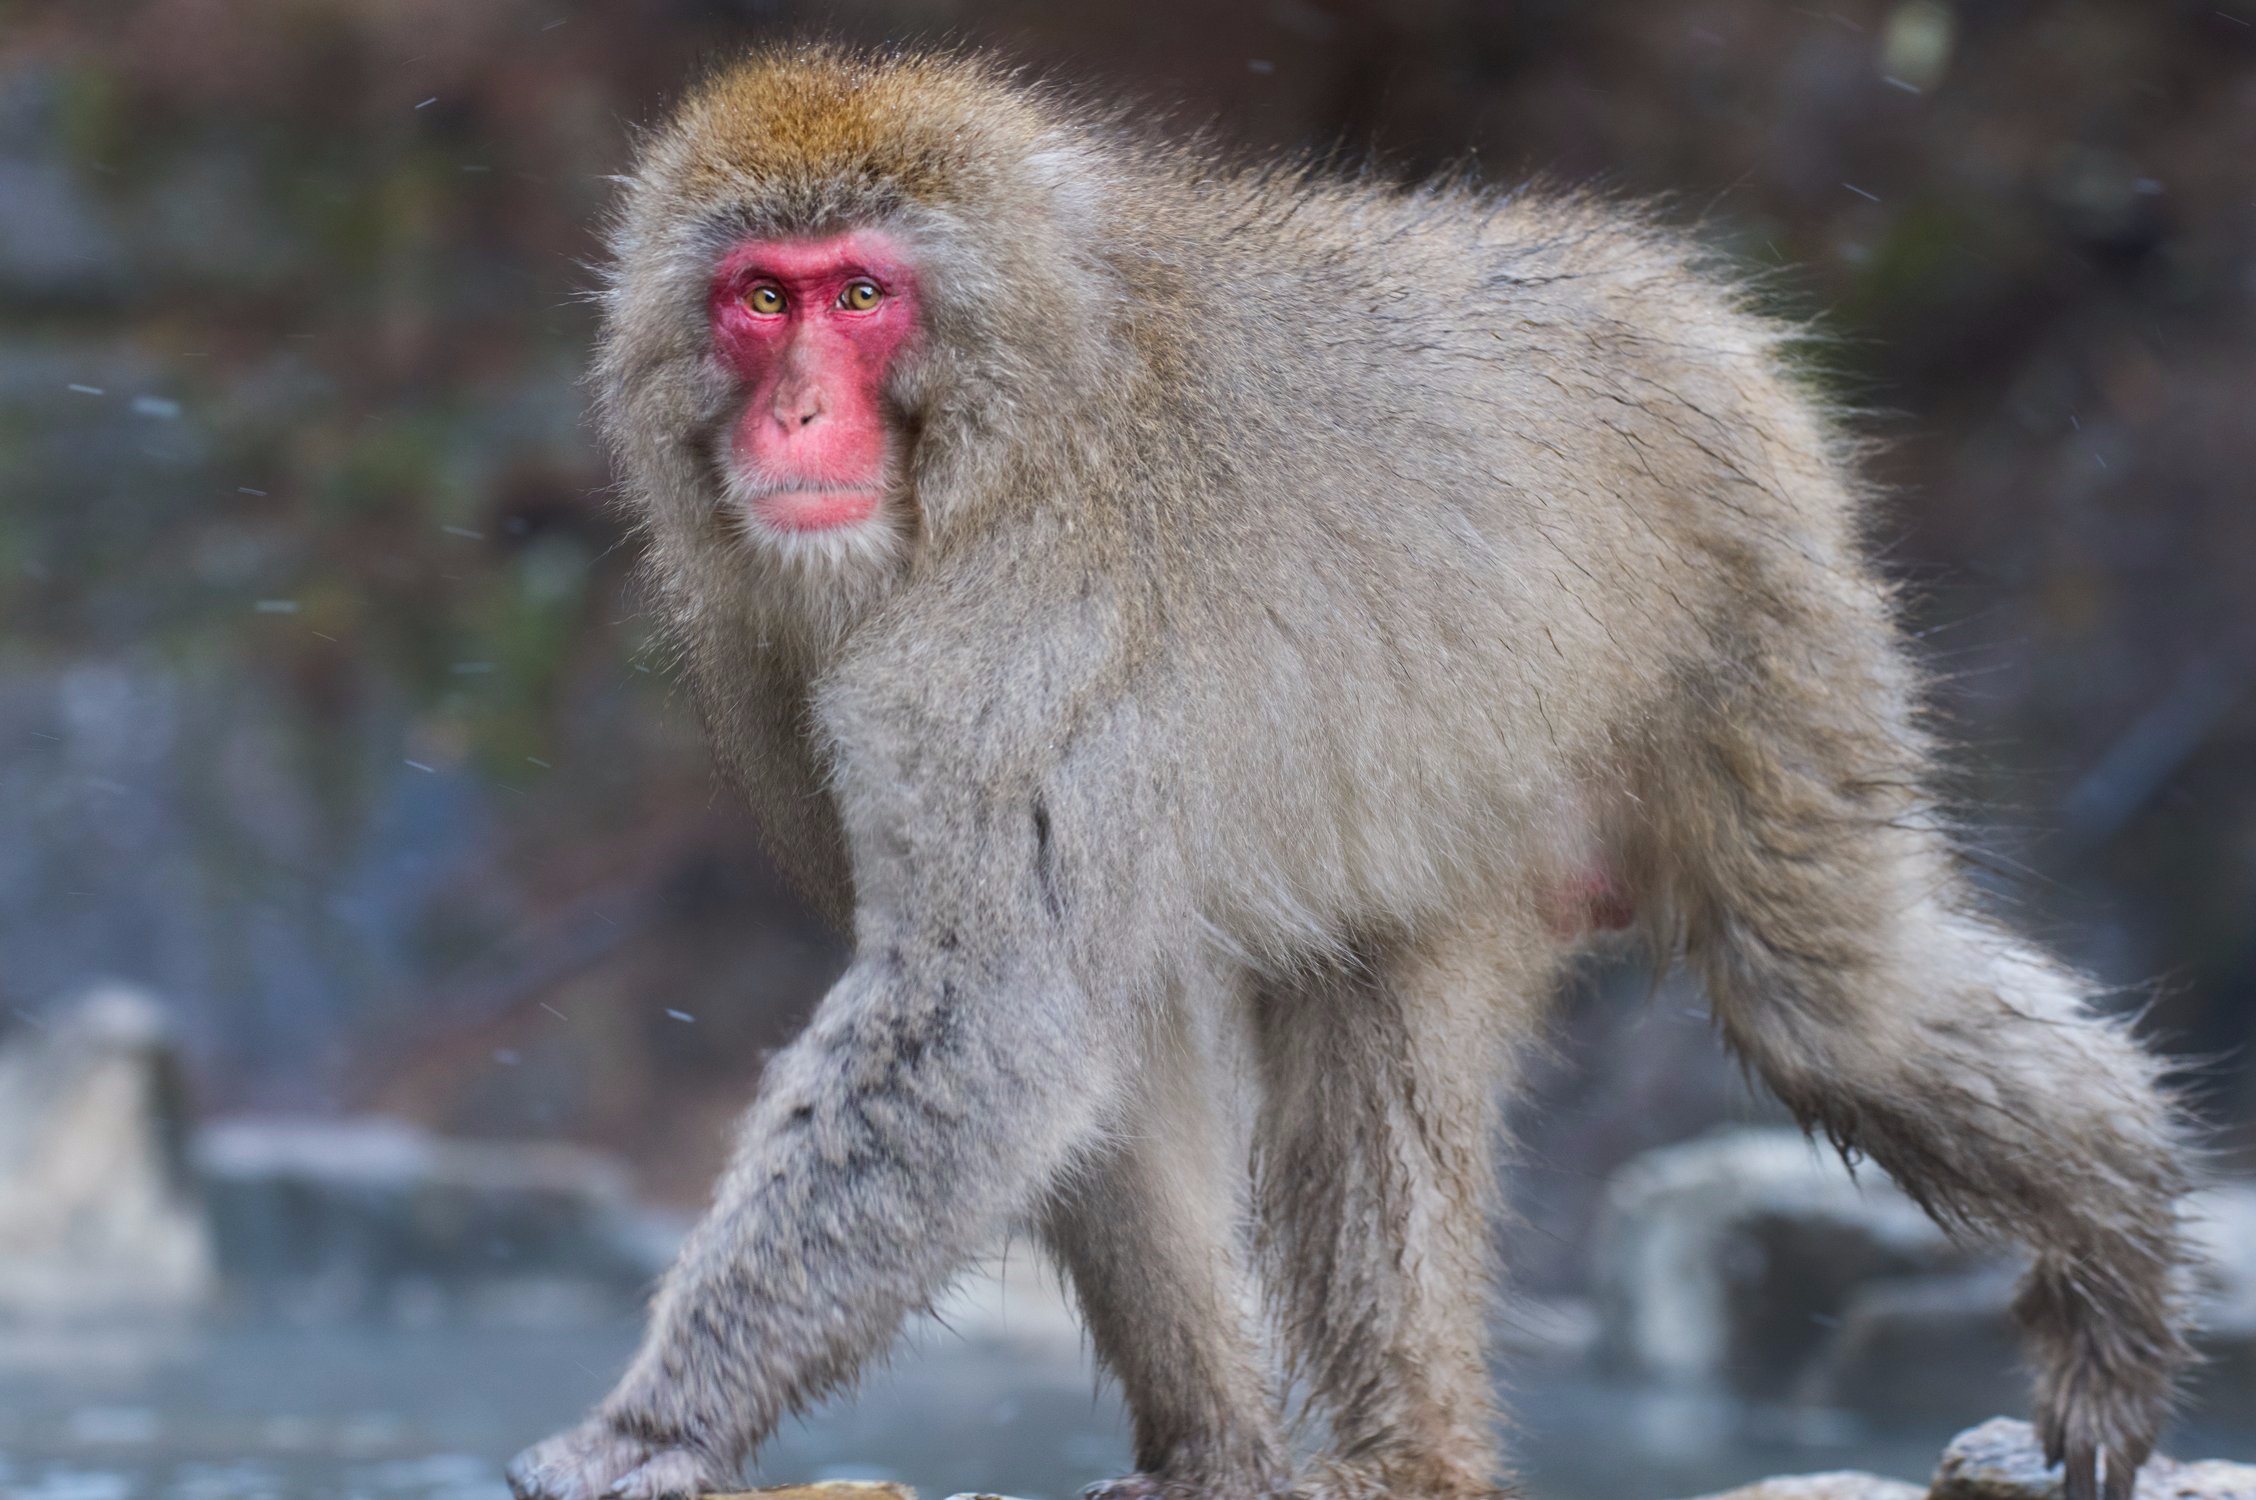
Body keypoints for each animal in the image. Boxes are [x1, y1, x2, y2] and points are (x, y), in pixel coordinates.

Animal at [507, 40, 2183, 1497]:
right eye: (756, 298)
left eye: (861, 295)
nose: (794, 411)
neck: (1004, 436)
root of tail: (1657, 287)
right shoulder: (766, 654)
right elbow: (1092, 1045)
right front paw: (1215, 1452)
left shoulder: (1017, 643)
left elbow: (987, 1014)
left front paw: (654, 1425)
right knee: (1378, 1049)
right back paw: (1412, 1458)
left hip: (1756, 592)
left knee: (1826, 996)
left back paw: (2118, 1241)